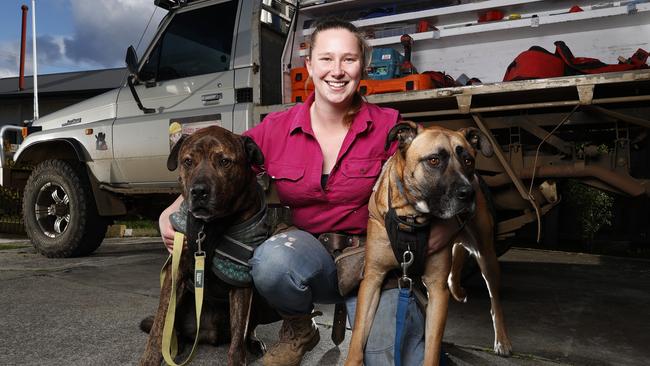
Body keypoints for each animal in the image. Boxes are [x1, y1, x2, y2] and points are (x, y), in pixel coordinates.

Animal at [139, 124, 276, 364]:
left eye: (224, 161)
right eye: (188, 161)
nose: (199, 191)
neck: (211, 226)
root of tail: (209, 334)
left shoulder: (241, 279)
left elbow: (239, 333)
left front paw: (238, 359)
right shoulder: (175, 274)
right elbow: (159, 326)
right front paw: (150, 359)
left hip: (257, 300)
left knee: (246, 330)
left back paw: (253, 342)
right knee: (173, 331)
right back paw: (177, 347)